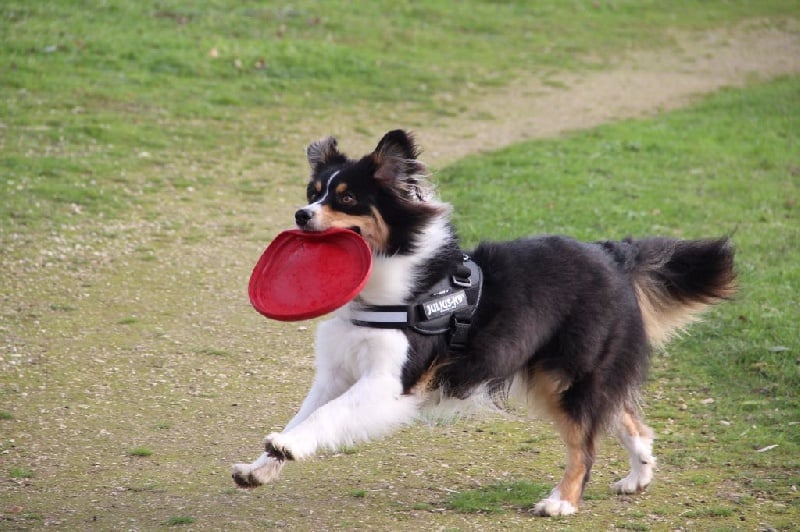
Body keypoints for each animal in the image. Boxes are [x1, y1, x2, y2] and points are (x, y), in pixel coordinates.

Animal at [228, 129, 736, 516]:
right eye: (312, 193)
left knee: (585, 445)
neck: (391, 289)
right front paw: (262, 464)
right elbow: (305, 413)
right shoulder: (335, 372)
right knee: (626, 418)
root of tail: (612, 255)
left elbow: (329, 415)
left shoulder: (391, 382)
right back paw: (637, 476)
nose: (300, 215)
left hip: (566, 377)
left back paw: (562, 502)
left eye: (347, 197)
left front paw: (288, 447)